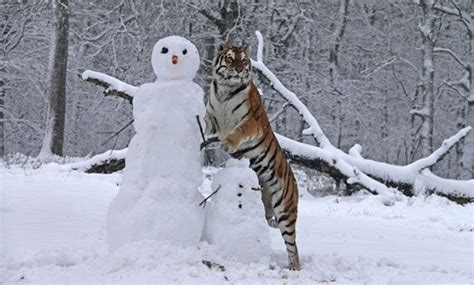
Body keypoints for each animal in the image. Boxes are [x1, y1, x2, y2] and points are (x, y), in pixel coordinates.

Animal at [204, 41, 300, 268]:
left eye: (244, 60)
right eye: (230, 58)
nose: (239, 70)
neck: (225, 90)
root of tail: (296, 185)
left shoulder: (252, 122)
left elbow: (239, 131)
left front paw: (229, 143)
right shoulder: (212, 116)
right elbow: (204, 122)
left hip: (285, 210)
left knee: (293, 246)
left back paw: (294, 268)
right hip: (267, 206)